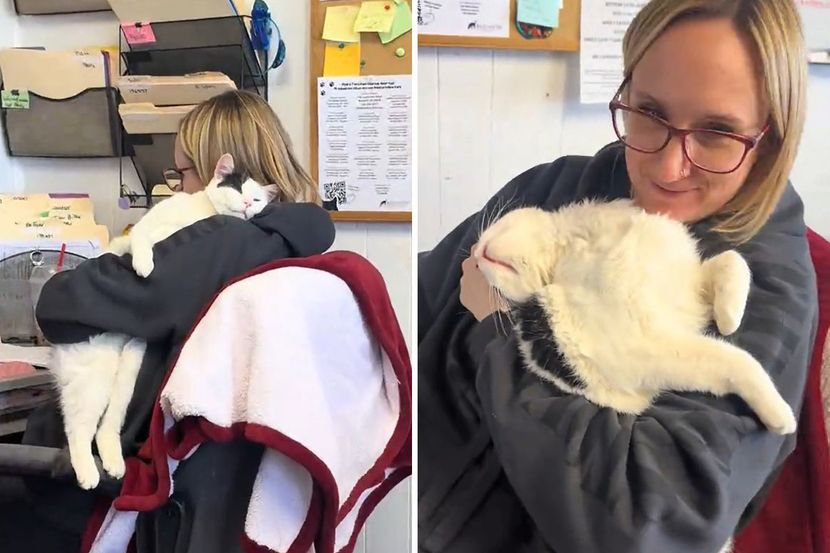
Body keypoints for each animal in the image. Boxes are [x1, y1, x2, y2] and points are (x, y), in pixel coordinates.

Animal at [52, 153, 276, 489]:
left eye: (258, 199)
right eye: (237, 188)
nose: (249, 203)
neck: (202, 213)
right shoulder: (140, 232)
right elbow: (141, 239)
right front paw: (144, 264)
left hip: (128, 367)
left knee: (101, 427)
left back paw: (111, 466)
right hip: (96, 375)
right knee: (78, 427)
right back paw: (89, 472)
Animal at [473, 198, 796, 435]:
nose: (474, 255)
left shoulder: (687, 284)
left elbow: (732, 260)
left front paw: (729, 317)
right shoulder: (647, 348)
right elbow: (738, 361)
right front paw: (781, 416)